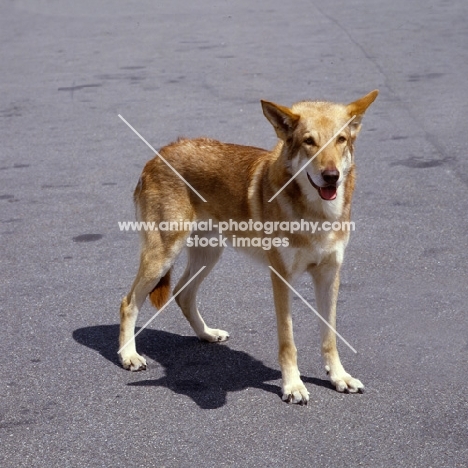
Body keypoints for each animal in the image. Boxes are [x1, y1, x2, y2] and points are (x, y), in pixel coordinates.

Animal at [119, 89, 378, 404]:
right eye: (309, 141)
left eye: (340, 140)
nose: (331, 176)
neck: (317, 216)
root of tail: (158, 154)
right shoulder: (281, 278)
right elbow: (288, 341)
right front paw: (293, 386)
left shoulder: (329, 276)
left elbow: (330, 337)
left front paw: (339, 377)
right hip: (164, 256)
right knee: (129, 303)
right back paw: (128, 356)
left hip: (209, 254)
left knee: (182, 293)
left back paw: (207, 334)